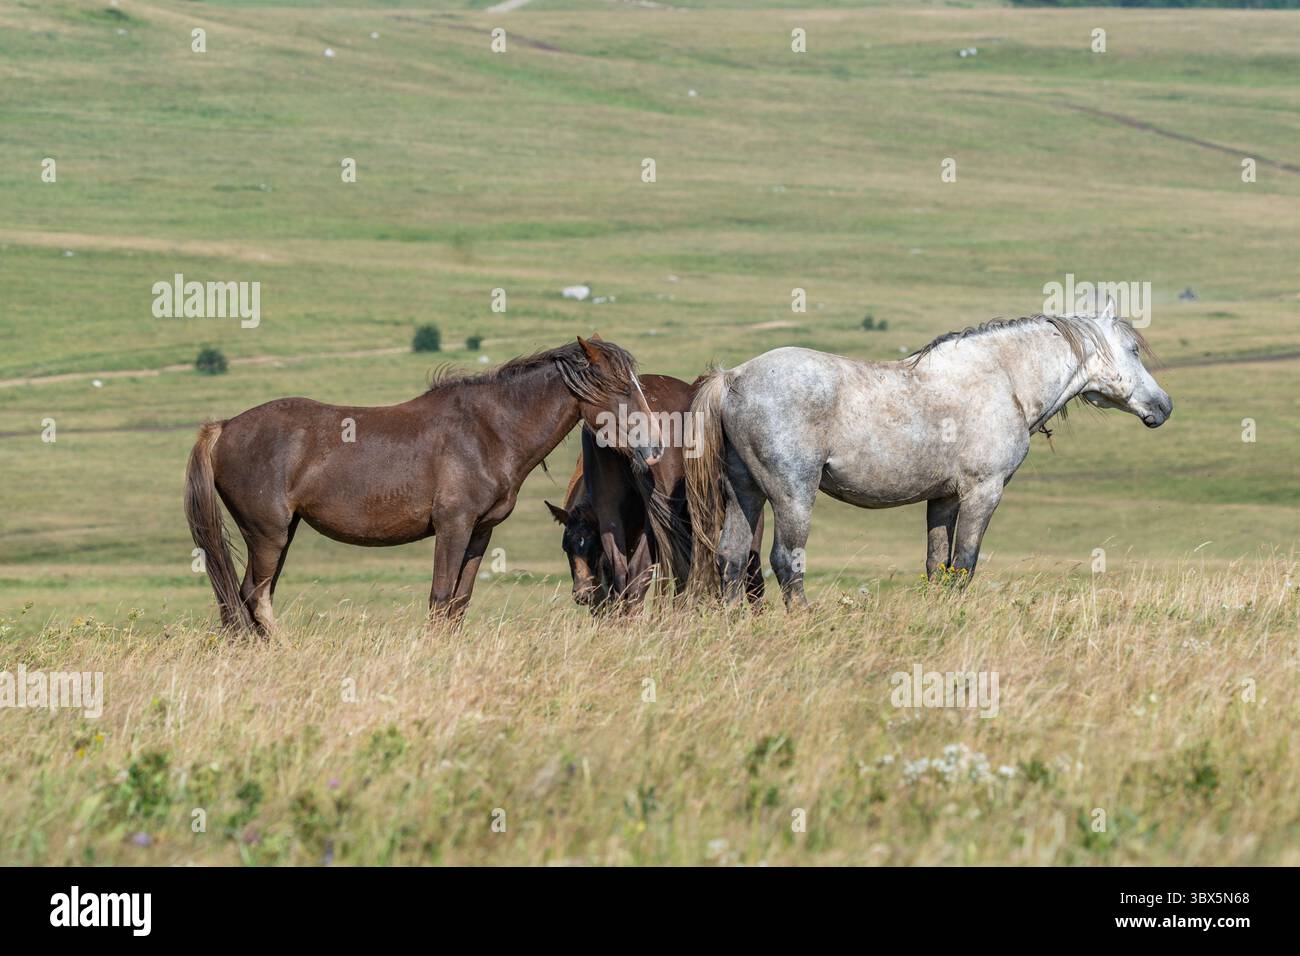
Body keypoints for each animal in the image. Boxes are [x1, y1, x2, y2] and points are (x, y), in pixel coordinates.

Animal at [184, 337, 663, 633]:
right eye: (621, 388)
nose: (656, 446)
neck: (488, 431)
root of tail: (223, 428)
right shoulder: (452, 526)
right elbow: (439, 596)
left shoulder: (480, 531)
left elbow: (459, 602)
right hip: (267, 533)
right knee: (254, 596)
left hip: (280, 535)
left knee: (249, 598)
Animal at [686, 300, 1172, 608]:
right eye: (1133, 350)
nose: (1163, 405)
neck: (1003, 379)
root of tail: (732, 378)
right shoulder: (983, 493)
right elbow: (965, 563)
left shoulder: (944, 499)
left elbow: (938, 565)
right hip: (793, 496)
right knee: (786, 561)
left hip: (745, 493)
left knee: (731, 558)